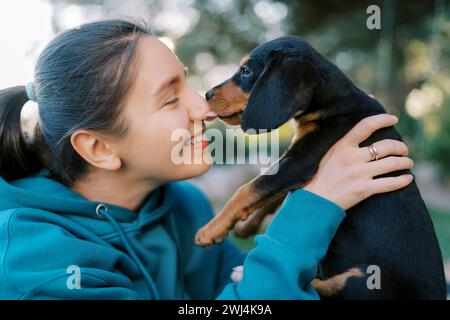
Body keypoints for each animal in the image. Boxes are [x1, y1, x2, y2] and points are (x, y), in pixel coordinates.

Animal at [195, 36, 444, 298]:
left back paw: (242, 273)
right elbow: (269, 194)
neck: (332, 104)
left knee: (323, 287)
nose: (207, 94)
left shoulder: (300, 162)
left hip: (369, 280)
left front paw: (211, 230)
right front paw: (246, 228)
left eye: (246, 71)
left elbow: (248, 189)